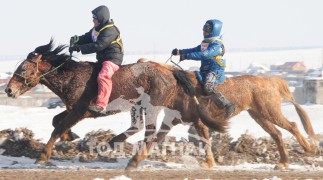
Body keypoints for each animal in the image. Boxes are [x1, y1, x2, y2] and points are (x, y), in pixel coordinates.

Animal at [5, 39, 228, 170]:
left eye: (23, 68)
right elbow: (56, 121)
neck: (72, 76)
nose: (8, 90)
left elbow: (58, 127)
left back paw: (133, 160)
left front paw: (43, 156)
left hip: (154, 106)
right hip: (168, 106)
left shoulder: (80, 111)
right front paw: (72, 136)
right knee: (194, 126)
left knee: (152, 132)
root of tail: (170, 71)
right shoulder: (72, 109)